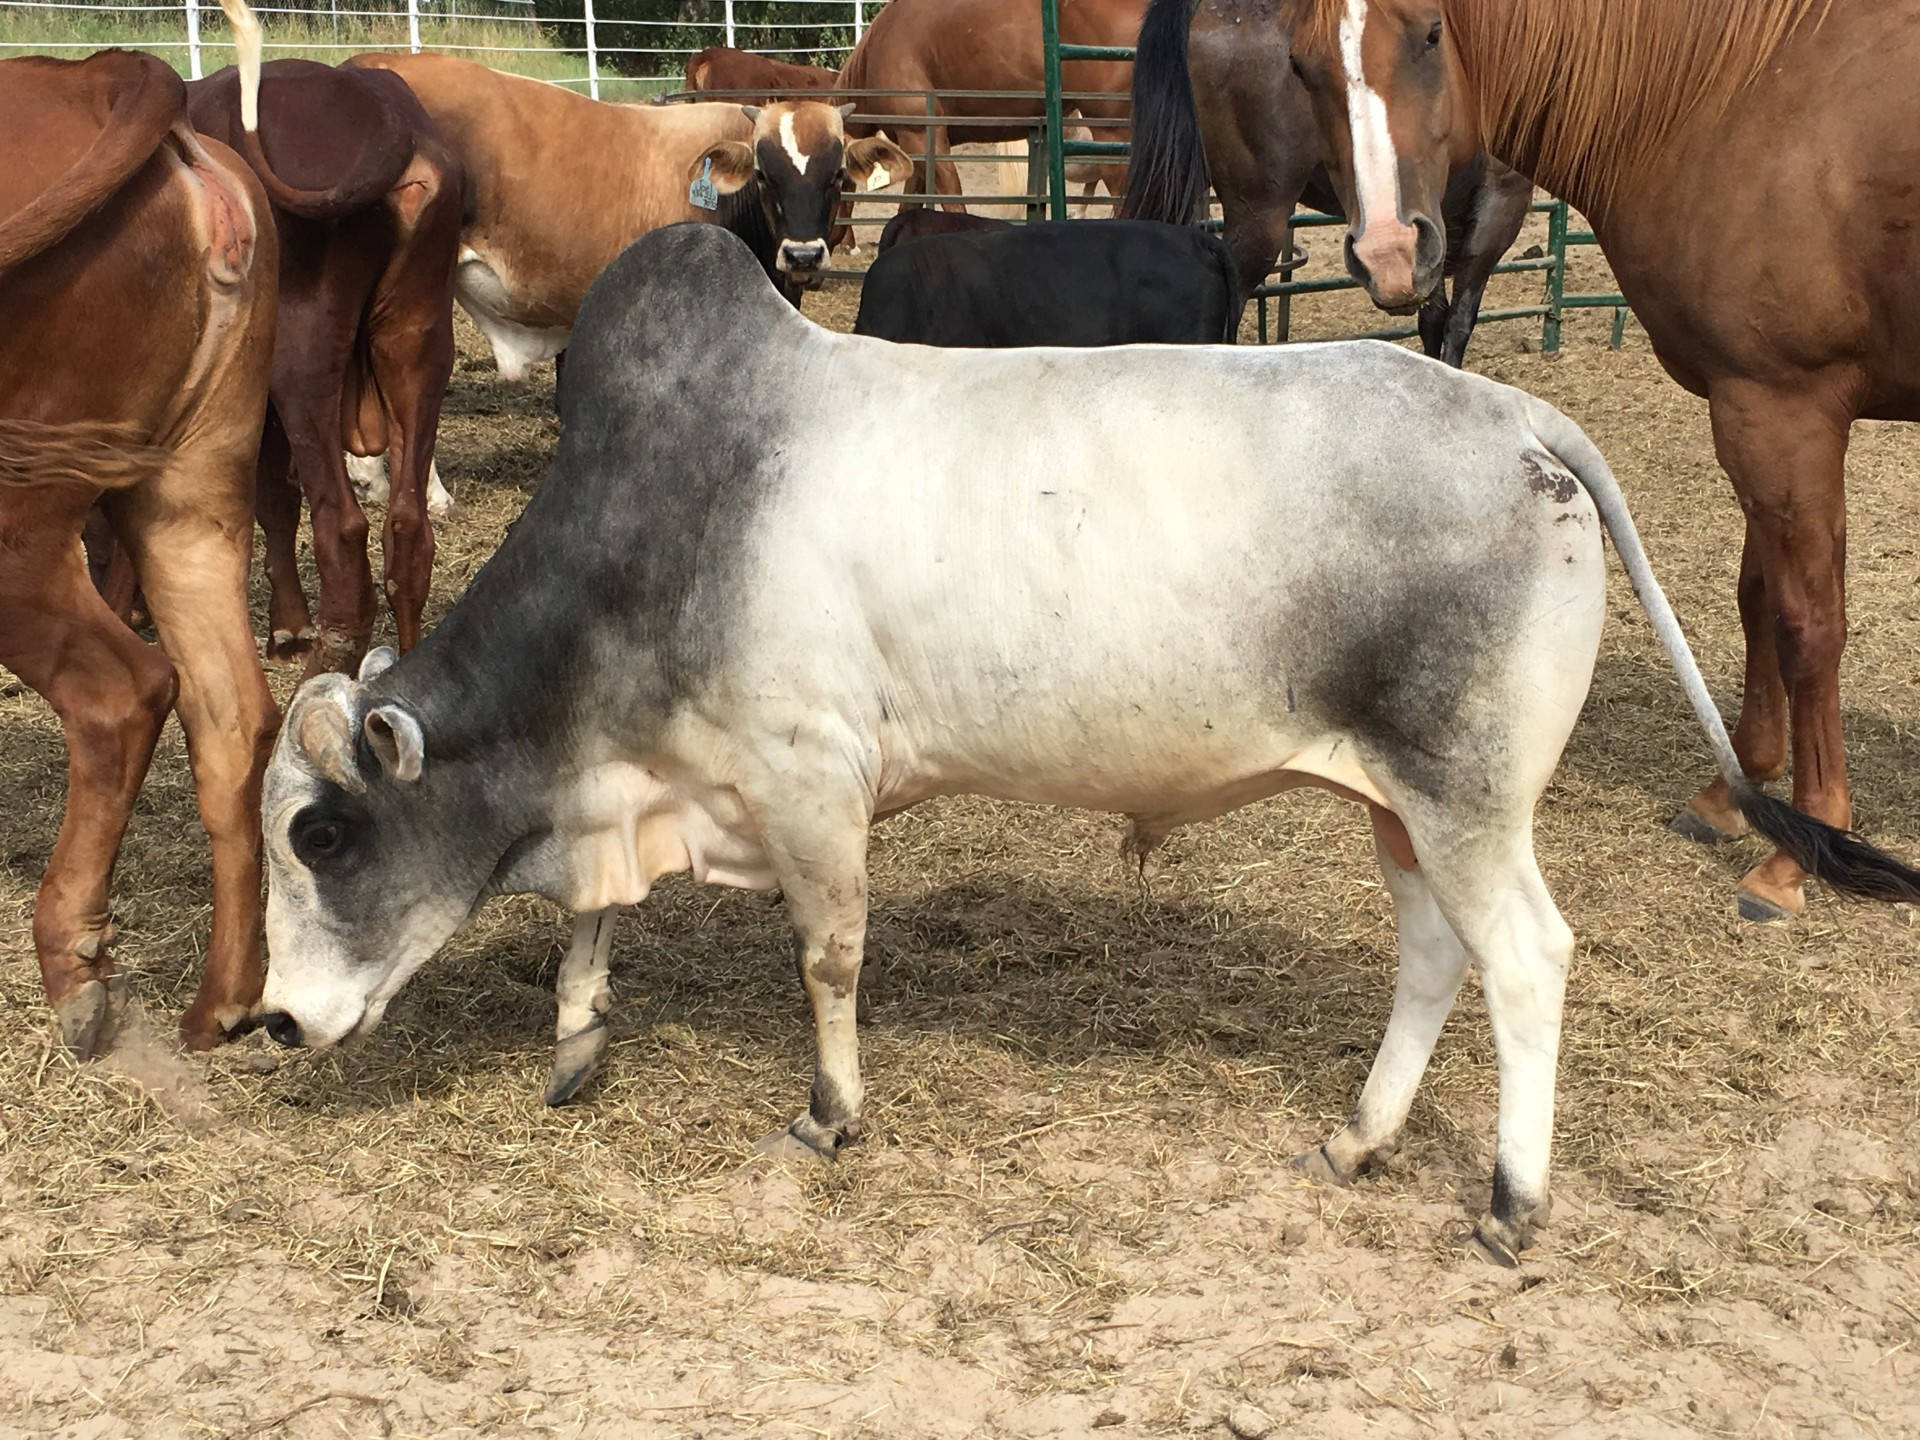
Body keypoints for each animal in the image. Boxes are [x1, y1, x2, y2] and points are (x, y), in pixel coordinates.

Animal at [255, 222, 1920, 1259]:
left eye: (318, 831)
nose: (269, 1021)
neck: (671, 513)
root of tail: (1520, 415)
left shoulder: (810, 783)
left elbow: (827, 958)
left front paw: (828, 1115)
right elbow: (594, 924)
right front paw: (577, 1037)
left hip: (1470, 803)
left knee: (1525, 959)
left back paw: (1510, 1201)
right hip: (1405, 808)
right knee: (1434, 959)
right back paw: (1362, 1139)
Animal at [1274, 0, 1920, 917]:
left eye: (1431, 34)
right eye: (1302, 65)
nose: (1393, 251)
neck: (1740, 97)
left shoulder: (1783, 411)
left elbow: (1807, 625)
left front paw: (1803, 846)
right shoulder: (1748, 405)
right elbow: (1756, 596)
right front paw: (1733, 794)